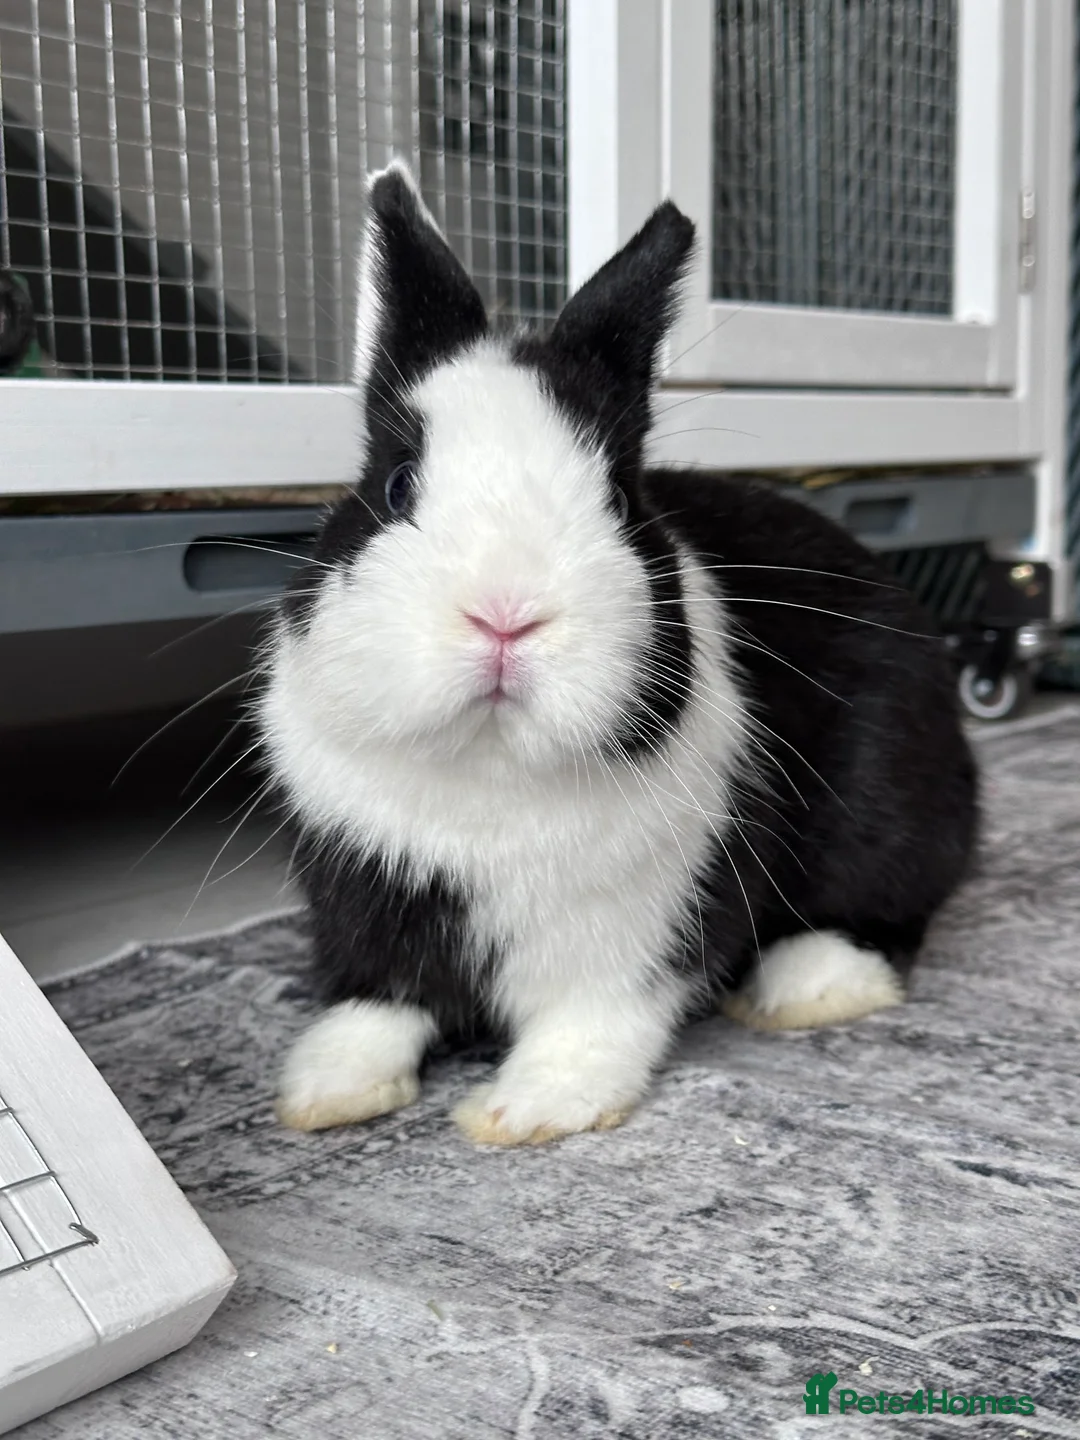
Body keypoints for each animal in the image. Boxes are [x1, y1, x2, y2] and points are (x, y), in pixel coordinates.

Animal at [259, 161, 978, 1147]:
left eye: (620, 500)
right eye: (398, 486)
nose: (506, 613)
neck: (490, 774)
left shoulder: (643, 925)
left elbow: (597, 1022)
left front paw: (525, 1111)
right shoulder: (369, 896)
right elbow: (378, 1001)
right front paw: (326, 1091)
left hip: (895, 801)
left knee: (892, 908)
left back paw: (809, 987)